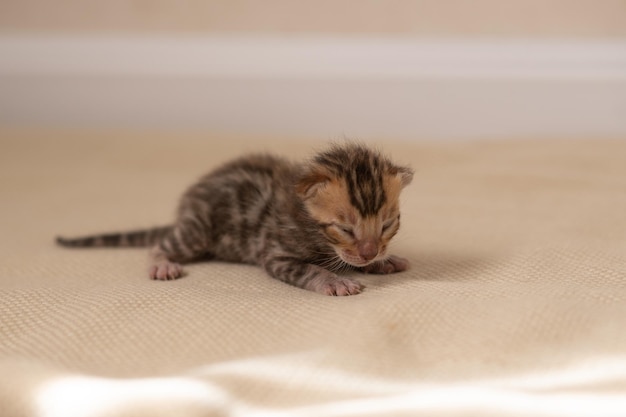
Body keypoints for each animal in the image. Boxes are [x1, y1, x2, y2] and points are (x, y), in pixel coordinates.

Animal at [56, 143, 412, 296]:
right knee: (159, 245)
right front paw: (334, 280)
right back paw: (162, 263)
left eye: (387, 224)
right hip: (198, 231)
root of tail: (185, 209)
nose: (370, 252)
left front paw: (383, 261)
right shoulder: (276, 254)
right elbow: (311, 268)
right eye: (344, 229)